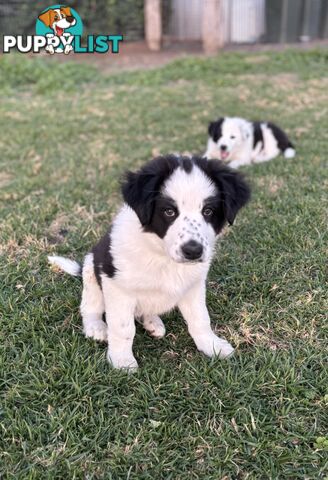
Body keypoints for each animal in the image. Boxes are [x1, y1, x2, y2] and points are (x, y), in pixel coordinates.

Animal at [48, 156, 250, 370]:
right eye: (169, 212)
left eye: (208, 211)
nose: (193, 251)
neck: (162, 255)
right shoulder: (118, 288)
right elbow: (123, 328)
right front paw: (122, 360)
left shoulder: (194, 285)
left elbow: (200, 318)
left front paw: (212, 345)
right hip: (92, 270)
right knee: (90, 307)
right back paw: (96, 327)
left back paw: (153, 322)